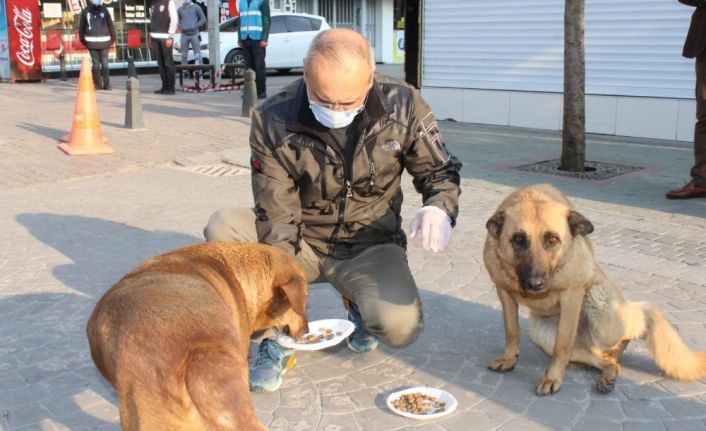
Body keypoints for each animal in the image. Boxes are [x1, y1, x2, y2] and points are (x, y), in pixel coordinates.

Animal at [484, 184, 704, 396]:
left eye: (553, 239)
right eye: (518, 239)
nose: (535, 284)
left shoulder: (572, 296)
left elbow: (561, 345)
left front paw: (553, 378)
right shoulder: (503, 291)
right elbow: (512, 331)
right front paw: (509, 358)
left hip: (603, 317)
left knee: (637, 319)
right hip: (542, 334)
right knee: (607, 360)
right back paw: (605, 372)